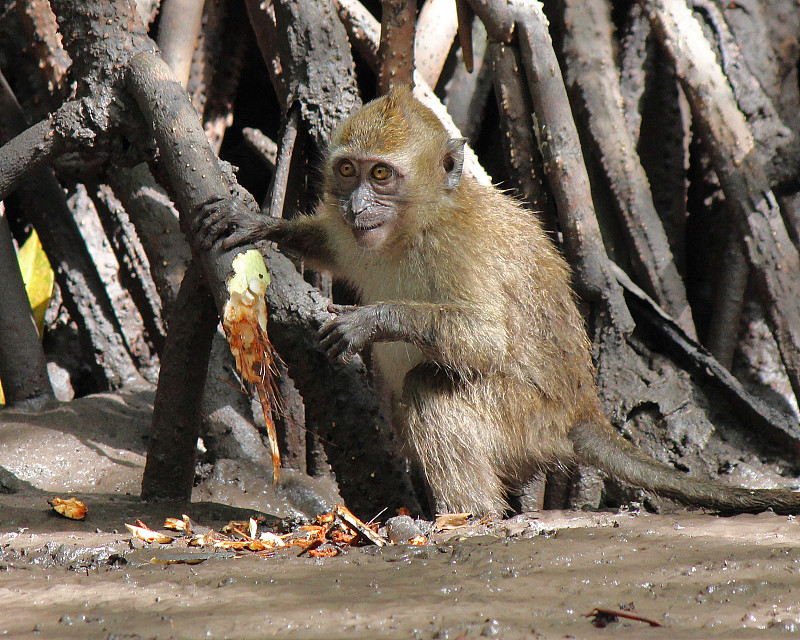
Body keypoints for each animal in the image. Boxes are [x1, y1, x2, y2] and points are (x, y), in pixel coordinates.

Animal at [197, 87, 800, 516]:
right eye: (347, 170)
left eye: (382, 175)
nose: (358, 205)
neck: (413, 228)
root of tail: (579, 411)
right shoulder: (354, 239)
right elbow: (330, 244)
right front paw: (258, 222)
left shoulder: (459, 251)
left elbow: (485, 339)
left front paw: (371, 320)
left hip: (525, 420)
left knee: (430, 388)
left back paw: (465, 517)